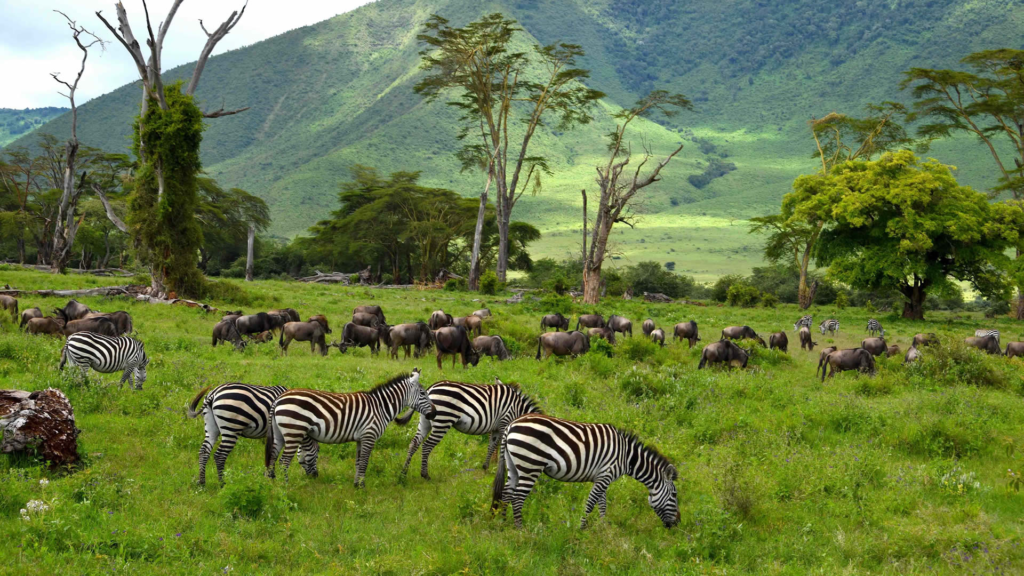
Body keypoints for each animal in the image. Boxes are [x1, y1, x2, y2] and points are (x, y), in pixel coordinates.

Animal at [264, 368, 436, 485]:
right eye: (423, 393)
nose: (434, 414)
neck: (380, 407)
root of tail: (278, 399)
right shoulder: (369, 436)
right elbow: (365, 462)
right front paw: (362, 486)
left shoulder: (361, 438)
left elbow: (359, 462)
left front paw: (356, 484)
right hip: (294, 431)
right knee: (284, 461)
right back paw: (285, 486)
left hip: (279, 433)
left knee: (272, 457)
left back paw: (272, 484)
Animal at [399, 375, 544, 477]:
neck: (518, 410)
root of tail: (431, 388)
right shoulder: (504, 423)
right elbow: (501, 448)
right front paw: (501, 469)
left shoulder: (496, 427)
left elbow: (492, 446)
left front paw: (486, 467)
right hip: (443, 421)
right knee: (427, 446)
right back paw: (425, 475)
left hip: (425, 420)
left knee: (414, 443)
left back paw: (404, 472)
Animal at [489, 412, 679, 528]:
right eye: (674, 495)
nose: (677, 523)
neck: (627, 457)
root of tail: (511, 425)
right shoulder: (606, 475)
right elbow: (591, 503)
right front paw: (581, 529)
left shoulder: (602, 478)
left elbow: (602, 504)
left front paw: (602, 529)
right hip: (530, 466)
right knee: (517, 498)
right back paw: (520, 529)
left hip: (514, 466)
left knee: (507, 493)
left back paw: (504, 523)